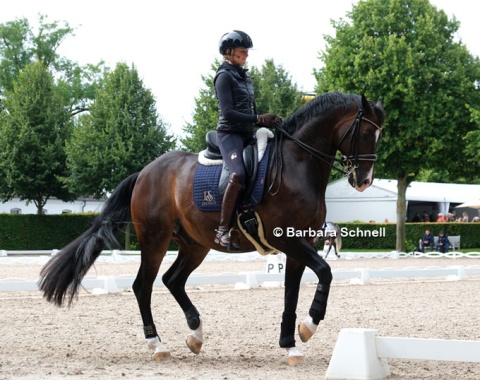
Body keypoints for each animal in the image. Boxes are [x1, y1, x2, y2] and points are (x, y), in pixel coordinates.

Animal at [38, 91, 386, 366]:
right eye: (366, 133)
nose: (363, 180)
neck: (297, 164)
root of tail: (146, 171)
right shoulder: (286, 240)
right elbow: (325, 271)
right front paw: (308, 327)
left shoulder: (301, 243)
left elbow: (292, 291)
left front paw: (291, 345)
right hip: (155, 240)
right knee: (143, 286)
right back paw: (157, 344)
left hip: (195, 244)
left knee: (172, 280)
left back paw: (196, 334)